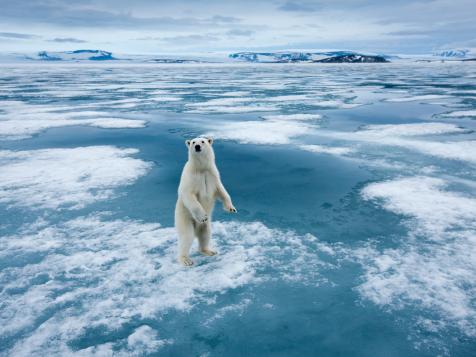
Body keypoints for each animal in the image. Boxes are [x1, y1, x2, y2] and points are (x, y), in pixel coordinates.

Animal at [175, 136, 236, 264]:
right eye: (193, 142)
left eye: (202, 141)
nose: (197, 146)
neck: (201, 169)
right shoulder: (191, 177)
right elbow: (188, 195)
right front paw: (203, 216)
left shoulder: (212, 175)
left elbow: (221, 190)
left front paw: (231, 208)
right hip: (184, 218)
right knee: (187, 236)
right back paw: (186, 260)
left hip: (206, 226)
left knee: (205, 234)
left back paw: (209, 251)